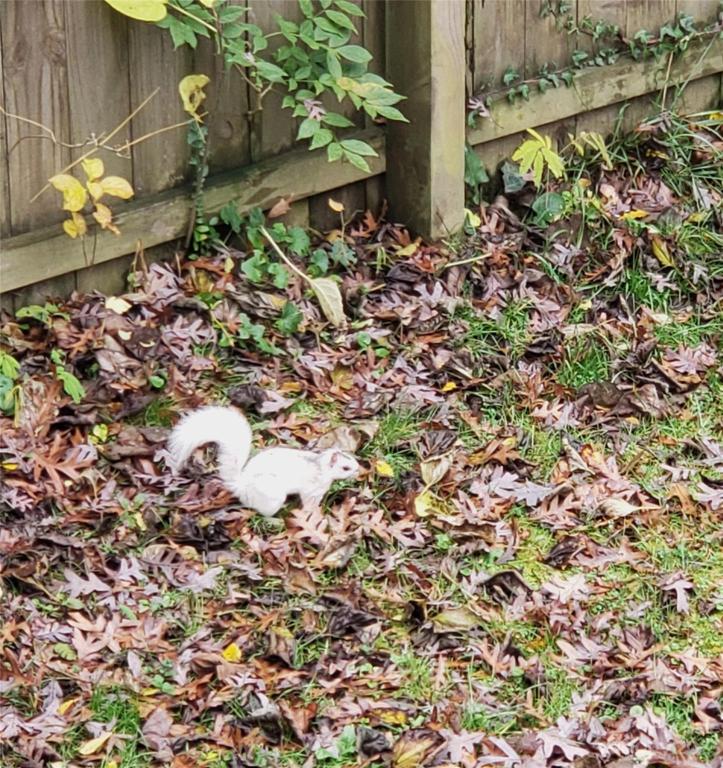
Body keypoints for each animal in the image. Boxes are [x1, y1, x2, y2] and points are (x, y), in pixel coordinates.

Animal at [167, 405, 360, 516]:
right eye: (345, 467)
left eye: (352, 458)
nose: (358, 469)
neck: (321, 467)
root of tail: (241, 485)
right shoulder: (311, 490)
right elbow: (309, 503)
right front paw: (315, 512)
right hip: (272, 495)